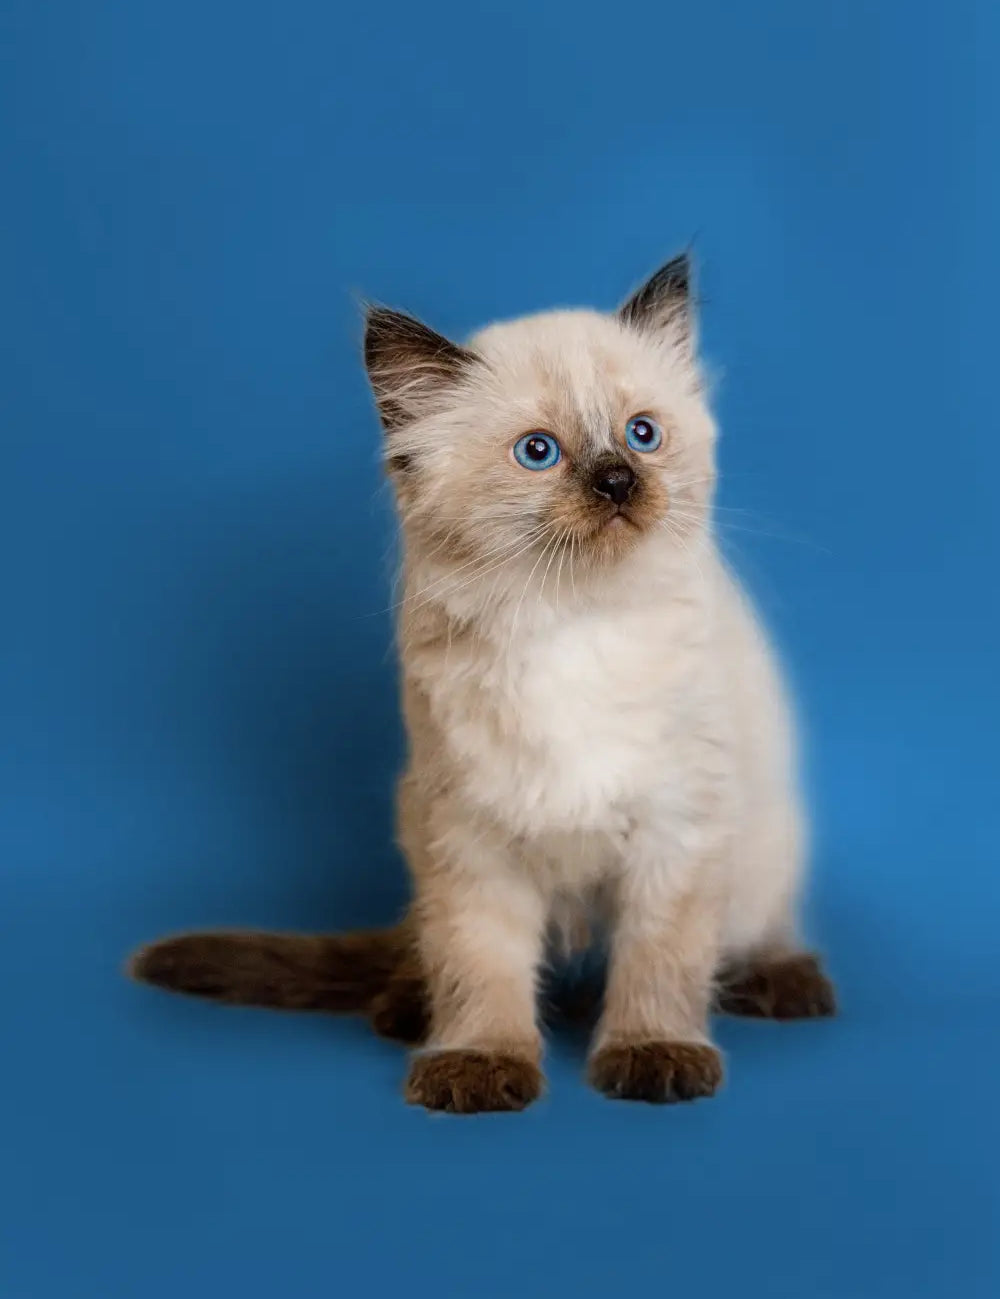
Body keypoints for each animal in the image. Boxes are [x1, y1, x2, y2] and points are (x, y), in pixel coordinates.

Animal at [132, 258, 831, 1111]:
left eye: (643, 434)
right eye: (539, 452)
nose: (618, 481)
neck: (571, 620)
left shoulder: (677, 828)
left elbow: (658, 960)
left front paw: (651, 1053)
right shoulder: (470, 832)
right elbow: (482, 964)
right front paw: (477, 1063)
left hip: (766, 842)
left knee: (753, 934)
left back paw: (783, 980)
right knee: (432, 952)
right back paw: (405, 1009)